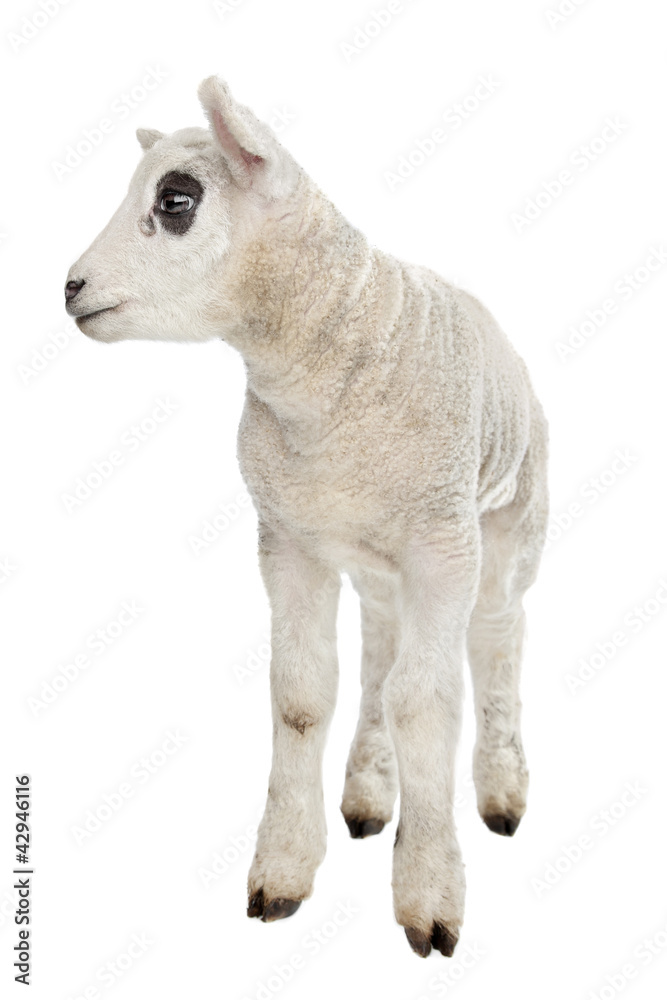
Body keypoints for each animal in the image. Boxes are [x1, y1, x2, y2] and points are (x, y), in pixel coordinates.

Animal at [64, 76, 549, 959]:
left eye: (175, 200)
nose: (70, 288)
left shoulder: (443, 548)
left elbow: (428, 703)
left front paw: (429, 894)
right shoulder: (288, 540)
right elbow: (300, 695)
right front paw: (283, 871)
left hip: (507, 526)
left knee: (497, 639)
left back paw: (500, 789)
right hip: (377, 561)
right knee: (381, 654)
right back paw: (367, 794)